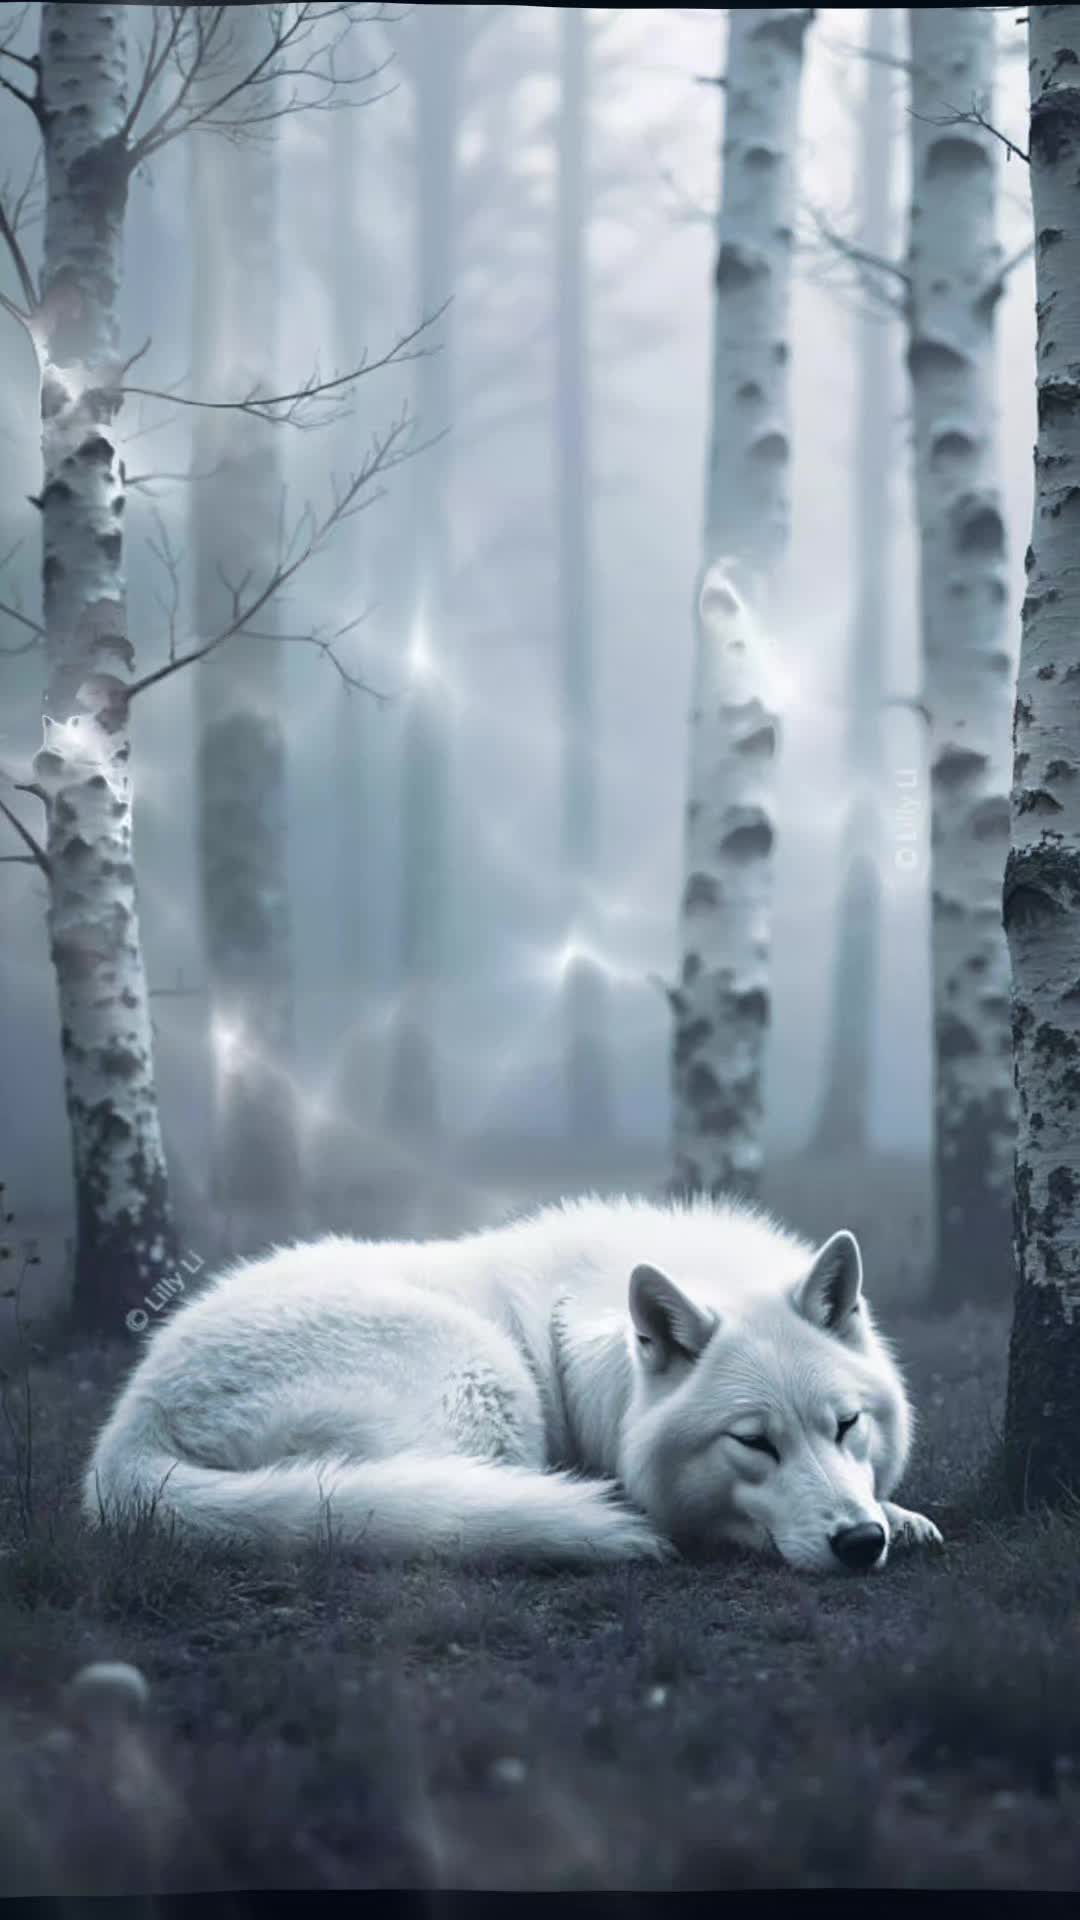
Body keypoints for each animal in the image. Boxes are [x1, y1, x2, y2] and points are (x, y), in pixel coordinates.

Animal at [82, 1195, 942, 1574]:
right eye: (753, 1443)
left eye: (846, 1426)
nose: (859, 1543)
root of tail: (127, 1432)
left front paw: (899, 1516)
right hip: (487, 1381)